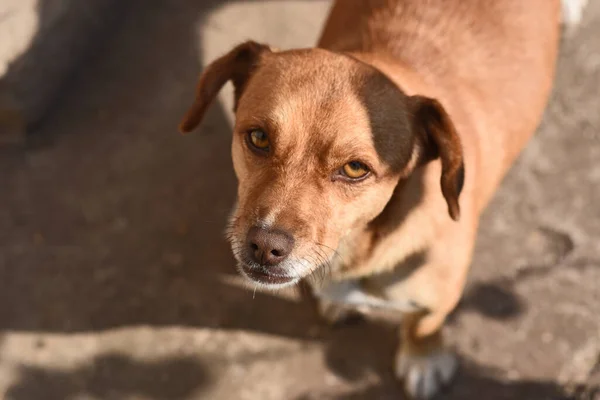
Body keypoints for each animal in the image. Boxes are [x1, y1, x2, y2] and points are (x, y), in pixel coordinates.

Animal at [178, 0, 580, 396]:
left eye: (356, 169)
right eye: (259, 137)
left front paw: (423, 359)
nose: (264, 246)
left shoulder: (438, 298)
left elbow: (424, 324)